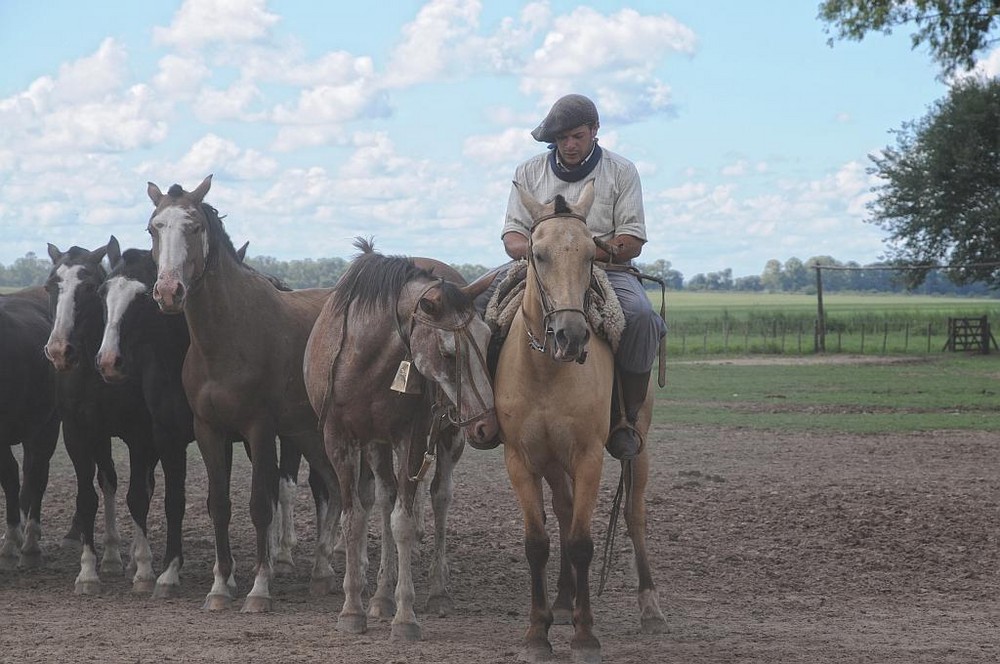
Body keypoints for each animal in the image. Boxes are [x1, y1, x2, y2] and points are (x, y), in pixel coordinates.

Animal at [145, 175, 340, 612]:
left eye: (195, 226)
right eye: (153, 228)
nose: (169, 292)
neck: (227, 337)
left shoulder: (259, 430)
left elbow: (260, 505)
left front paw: (259, 588)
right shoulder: (209, 431)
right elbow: (219, 506)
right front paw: (219, 588)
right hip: (308, 433)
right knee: (335, 488)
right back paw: (323, 571)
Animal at [300, 237, 496, 640]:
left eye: (486, 340)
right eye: (449, 351)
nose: (487, 425)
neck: (361, 360)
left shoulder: (414, 437)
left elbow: (402, 523)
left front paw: (405, 616)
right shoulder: (340, 440)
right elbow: (355, 518)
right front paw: (354, 608)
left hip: (450, 436)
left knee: (439, 496)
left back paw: (437, 590)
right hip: (378, 444)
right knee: (386, 496)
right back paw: (380, 595)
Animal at [492, 179, 664, 660]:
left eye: (591, 254)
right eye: (538, 253)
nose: (571, 335)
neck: (547, 371)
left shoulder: (588, 457)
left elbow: (582, 542)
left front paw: (585, 637)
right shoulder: (521, 461)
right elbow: (539, 543)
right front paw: (537, 633)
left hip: (638, 446)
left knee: (634, 515)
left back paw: (650, 607)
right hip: (553, 461)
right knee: (565, 510)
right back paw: (564, 601)